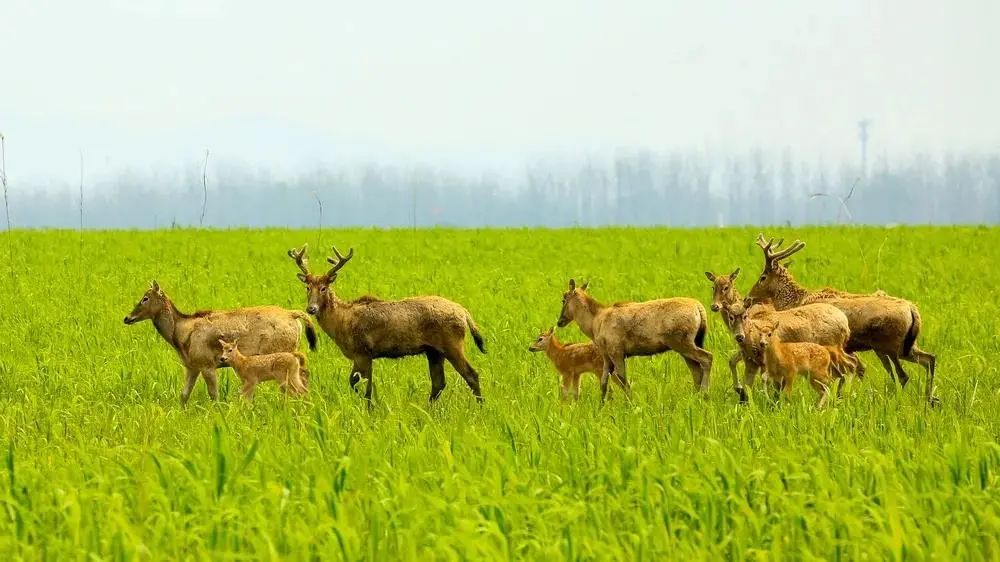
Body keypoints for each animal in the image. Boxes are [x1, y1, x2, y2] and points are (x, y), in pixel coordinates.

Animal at [123, 281, 318, 404]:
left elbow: (214, 395)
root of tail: (293, 315)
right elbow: (184, 395)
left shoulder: (207, 364)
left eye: (145, 298)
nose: (127, 318)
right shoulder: (192, 366)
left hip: (285, 350)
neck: (180, 334)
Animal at [288, 244, 486, 403]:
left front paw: (369, 410)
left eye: (324, 288)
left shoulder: (362, 352)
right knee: (439, 383)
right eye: (308, 287)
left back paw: (480, 407)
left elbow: (362, 386)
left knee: (471, 375)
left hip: (452, 343)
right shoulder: (362, 356)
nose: (311, 308)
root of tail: (463, 312)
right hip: (434, 351)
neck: (342, 322)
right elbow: (356, 383)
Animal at [556, 279, 712, 402]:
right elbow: (604, 383)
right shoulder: (606, 355)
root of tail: (700, 309)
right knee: (696, 369)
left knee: (707, 358)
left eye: (563, 300)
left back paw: (705, 393)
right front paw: (601, 405)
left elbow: (623, 380)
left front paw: (629, 403)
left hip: (681, 342)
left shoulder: (617, 351)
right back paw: (697, 395)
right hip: (687, 344)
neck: (594, 325)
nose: (559, 321)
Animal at [745, 234, 938, 404]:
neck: (795, 301)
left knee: (903, 375)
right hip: (906, 346)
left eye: (762, 277)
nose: (748, 299)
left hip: (889, 347)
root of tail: (913, 309)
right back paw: (930, 399)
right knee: (929, 359)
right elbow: (855, 371)